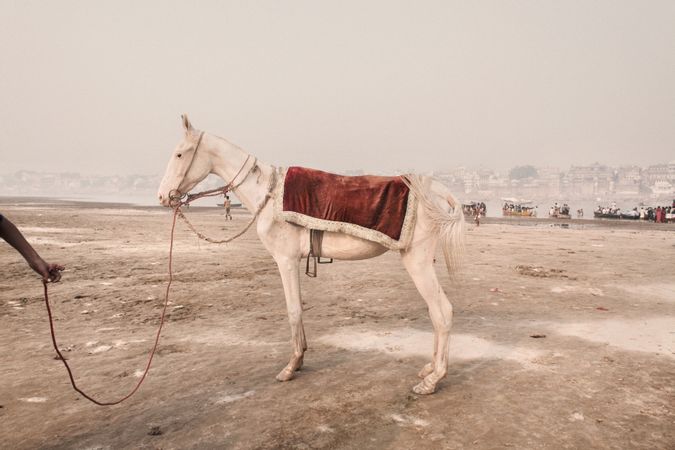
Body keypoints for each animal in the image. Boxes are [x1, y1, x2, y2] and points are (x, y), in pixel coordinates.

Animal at [158, 116, 464, 394]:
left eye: (179, 153)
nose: (162, 196)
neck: (267, 194)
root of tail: (437, 189)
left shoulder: (286, 260)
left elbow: (293, 309)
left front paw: (291, 365)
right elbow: (299, 308)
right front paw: (301, 357)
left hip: (417, 260)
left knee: (442, 311)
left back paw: (433, 379)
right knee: (435, 311)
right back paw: (430, 367)